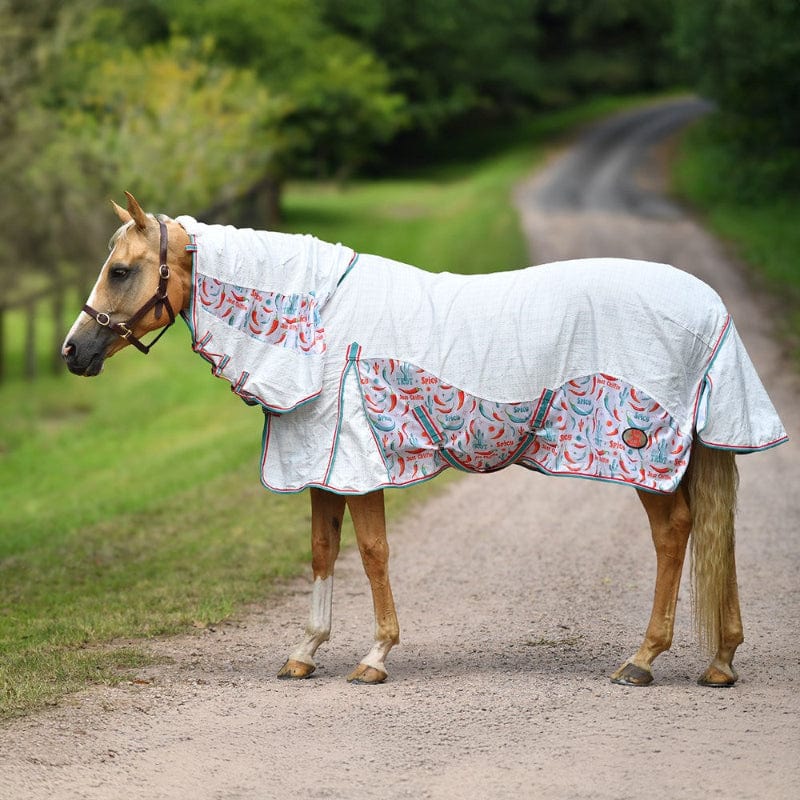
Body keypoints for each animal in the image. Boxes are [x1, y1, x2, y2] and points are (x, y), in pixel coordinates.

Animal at [63, 192, 787, 687]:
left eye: (121, 270)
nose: (73, 350)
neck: (320, 324)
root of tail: (711, 308)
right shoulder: (323, 463)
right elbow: (323, 551)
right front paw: (305, 652)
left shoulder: (358, 462)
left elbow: (373, 552)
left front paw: (375, 656)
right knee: (712, 533)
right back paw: (720, 661)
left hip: (641, 453)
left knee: (675, 534)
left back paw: (641, 659)